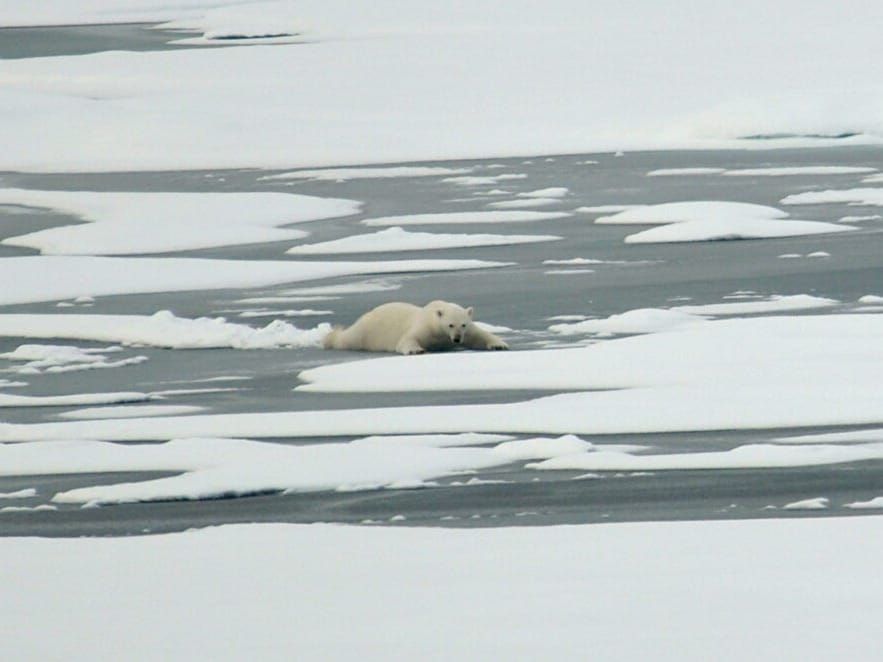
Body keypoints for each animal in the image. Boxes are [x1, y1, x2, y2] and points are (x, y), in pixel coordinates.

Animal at [323, 300, 509, 355]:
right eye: (450, 324)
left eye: (463, 324)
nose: (457, 339)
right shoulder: (425, 326)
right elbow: (408, 339)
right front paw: (416, 350)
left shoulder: (468, 331)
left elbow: (480, 335)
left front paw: (499, 345)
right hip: (365, 331)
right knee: (347, 338)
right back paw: (331, 338)